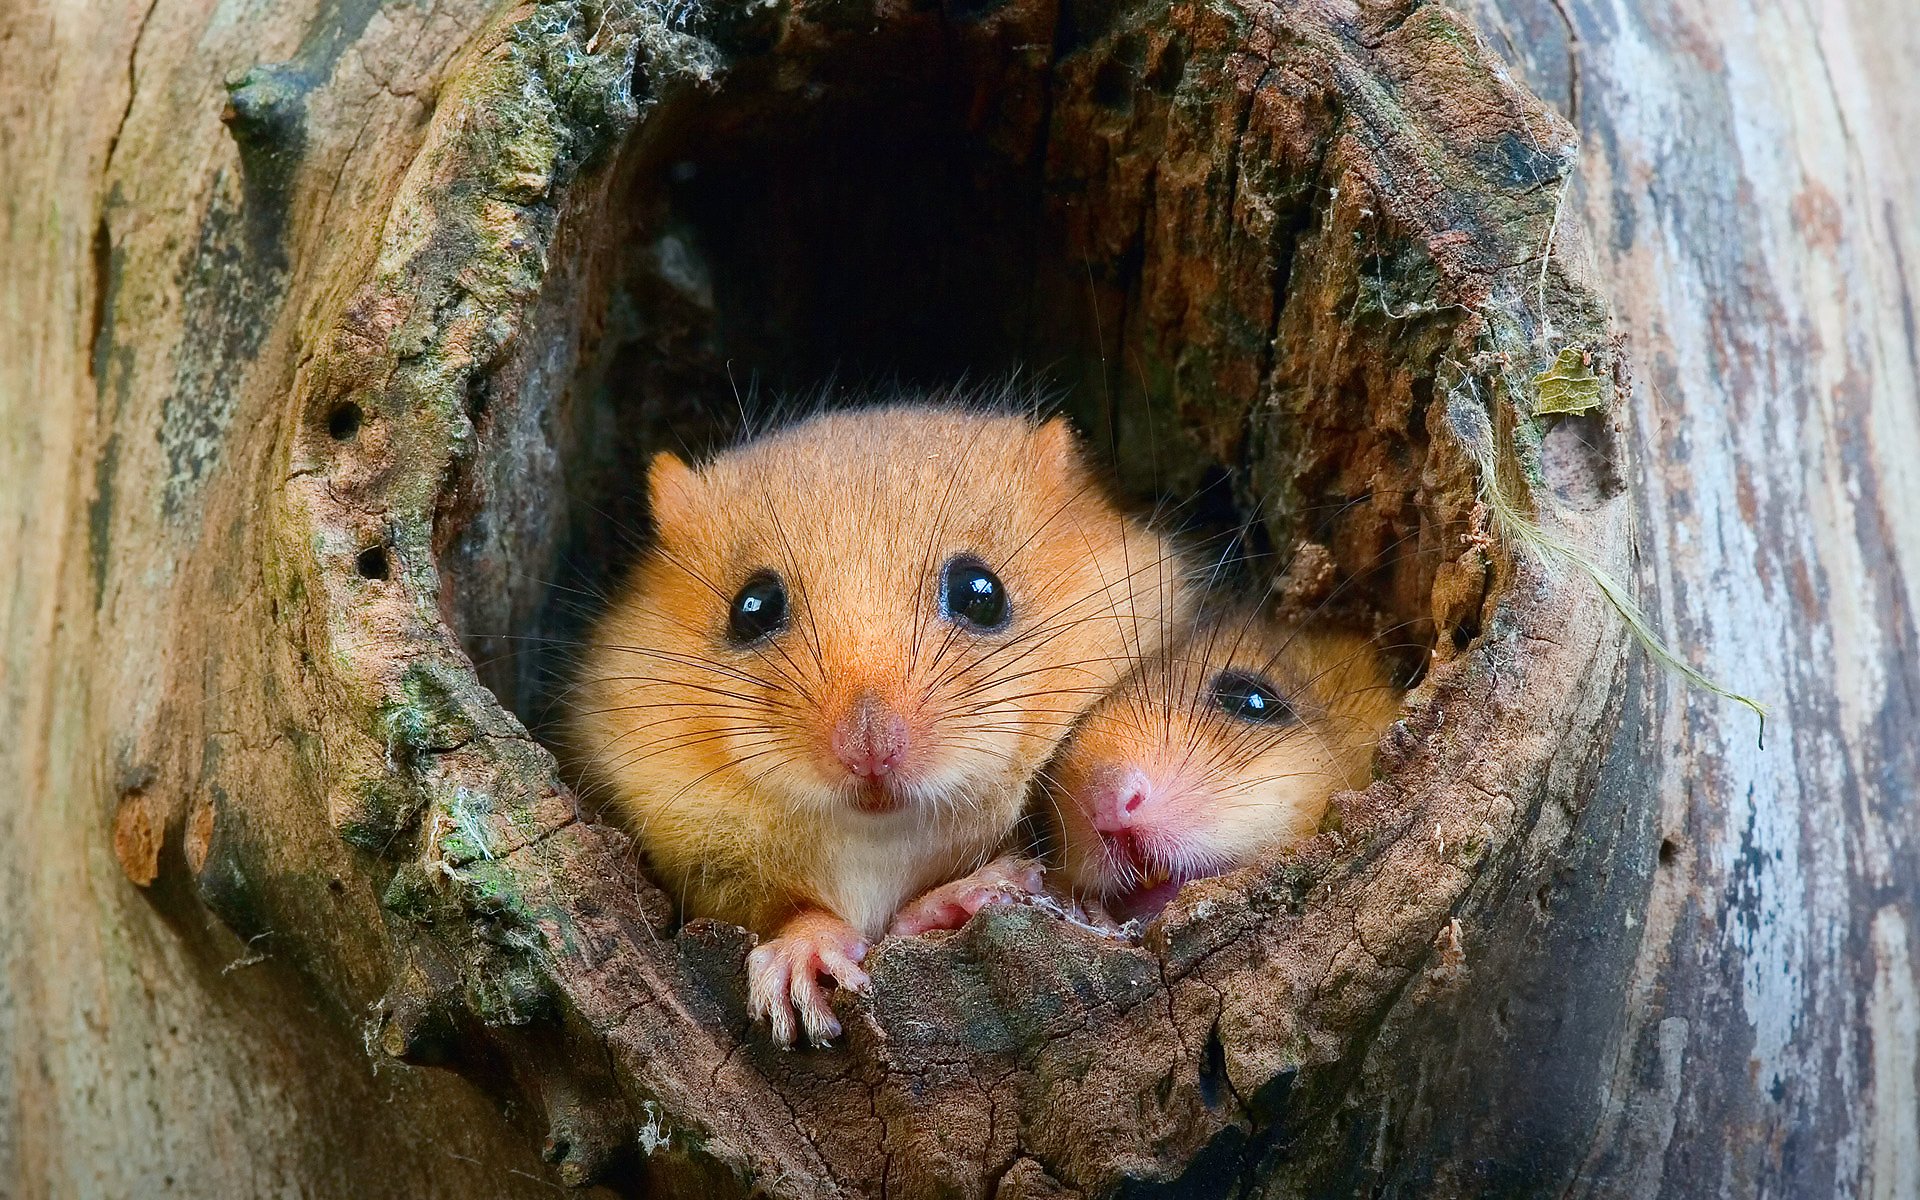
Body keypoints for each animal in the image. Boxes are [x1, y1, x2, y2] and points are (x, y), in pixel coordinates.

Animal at [571, 402, 1182, 1045]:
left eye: (981, 591)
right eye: (752, 607)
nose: (870, 753)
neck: (877, 834)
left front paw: (979, 889)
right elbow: (790, 913)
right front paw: (801, 966)